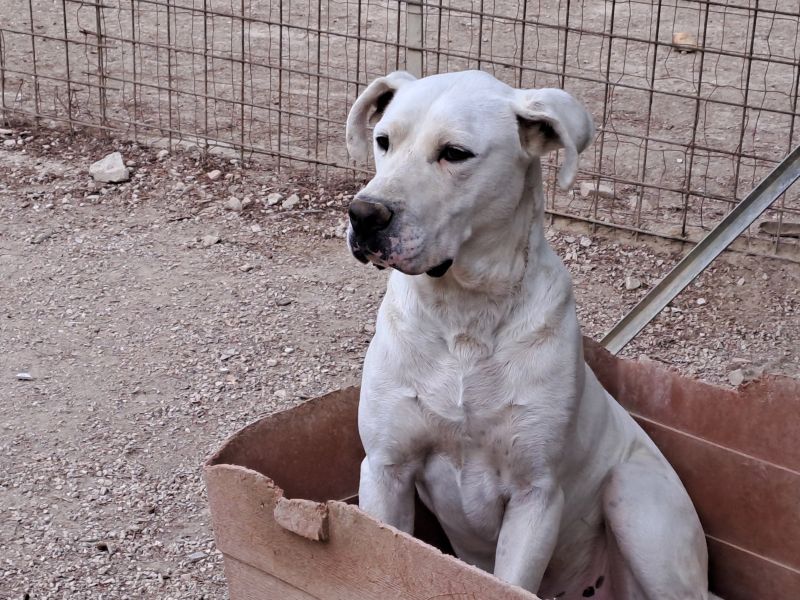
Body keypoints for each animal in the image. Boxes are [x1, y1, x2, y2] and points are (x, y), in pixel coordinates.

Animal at [346, 71, 708, 600]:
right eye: (383, 141)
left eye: (455, 153)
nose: (364, 215)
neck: (465, 316)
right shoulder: (384, 469)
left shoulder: (534, 497)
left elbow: (509, 579)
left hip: (635, 498)